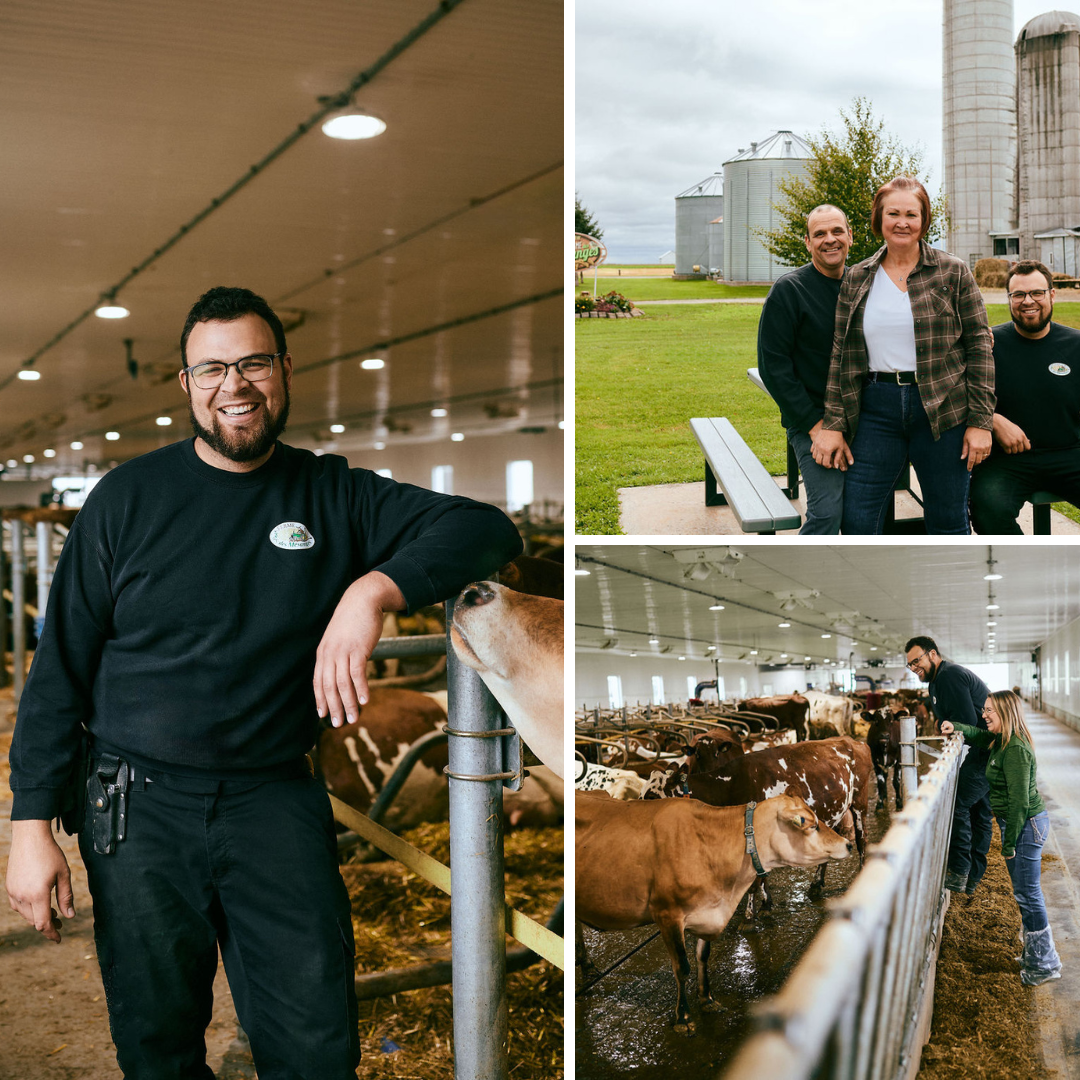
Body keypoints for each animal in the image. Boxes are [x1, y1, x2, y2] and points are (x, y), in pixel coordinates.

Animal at [574, 794, 851, 1028]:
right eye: (811, 825)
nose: (848, 844)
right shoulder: (667, 915)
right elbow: (682, 967)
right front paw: (683, 1017)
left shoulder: (706, 914)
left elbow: (702, 956)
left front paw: (707, 999)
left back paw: (586, 965)